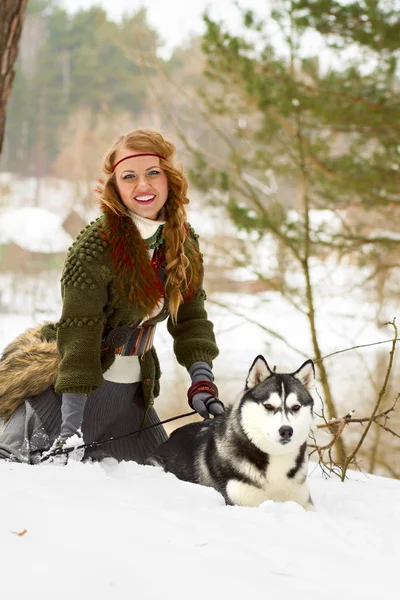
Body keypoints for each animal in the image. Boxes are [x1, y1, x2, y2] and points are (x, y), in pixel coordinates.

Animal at [149, 356, 316, 510]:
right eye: (268, 406)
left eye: (296, 407)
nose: (286, 431)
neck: (275, 457)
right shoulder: (242, 502)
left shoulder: (304, 502)